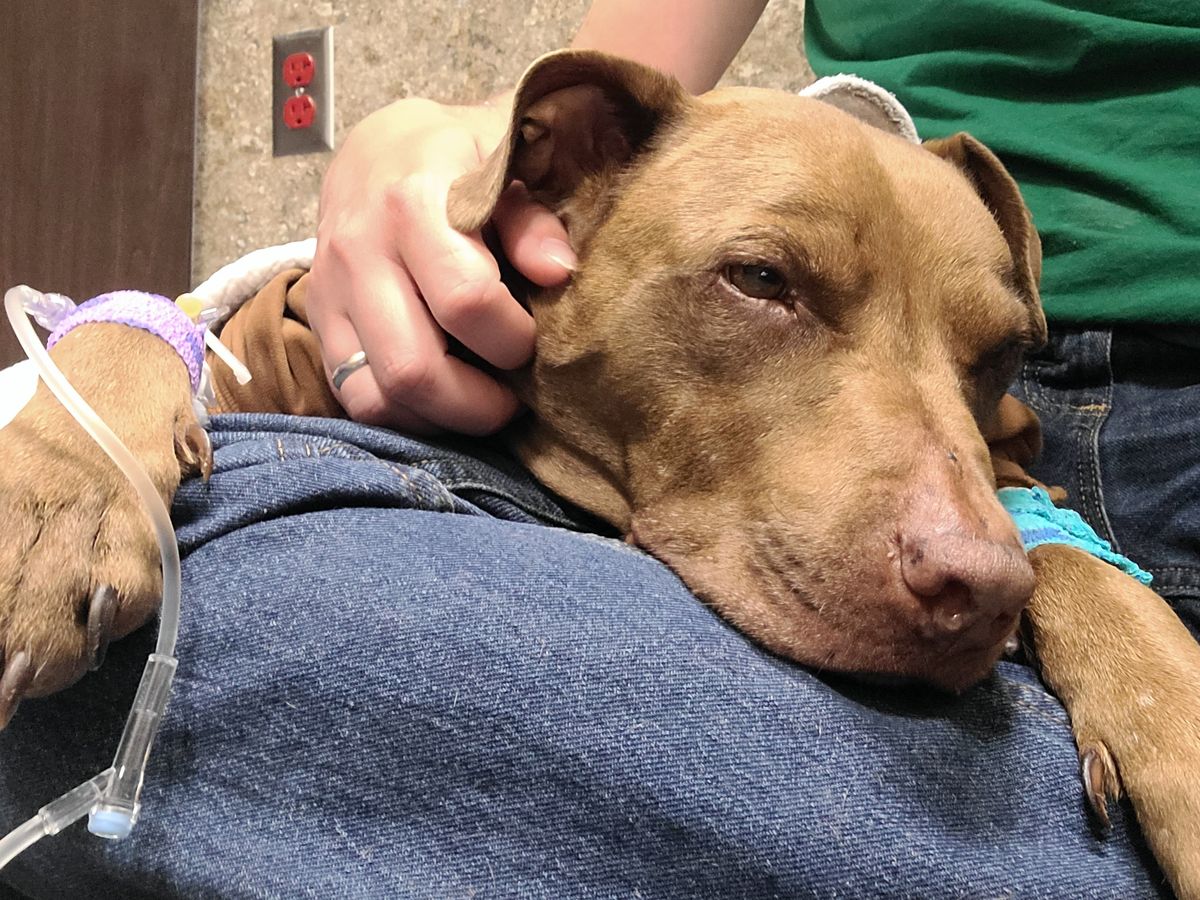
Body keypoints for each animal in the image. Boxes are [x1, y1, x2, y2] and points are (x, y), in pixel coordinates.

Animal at [1, 51, 1197, 897]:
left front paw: (1170, 711)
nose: (980, 594)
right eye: (761, 280)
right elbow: (136, 334)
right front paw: (56, 495)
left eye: (1000, 353)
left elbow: (1070, 554)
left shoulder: (998, 473)